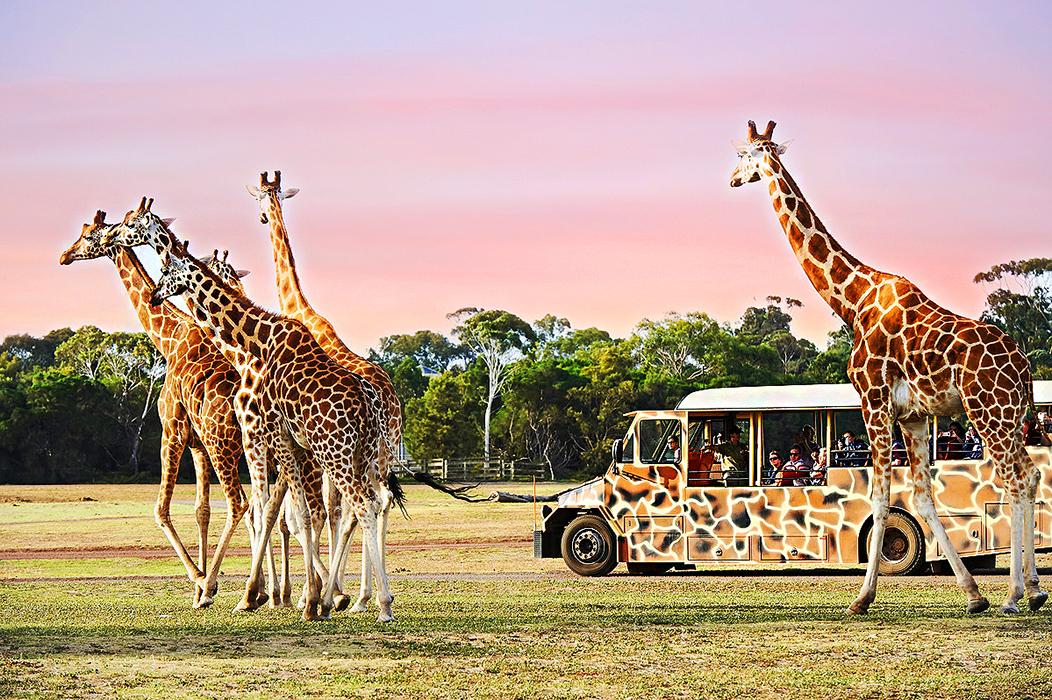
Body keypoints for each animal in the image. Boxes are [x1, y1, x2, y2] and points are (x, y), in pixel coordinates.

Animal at [61, 208, 248, 606]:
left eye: (87, 236)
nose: (64, 256)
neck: (170, 338)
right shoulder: (197, 445)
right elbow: (201, 510)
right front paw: (200, 589)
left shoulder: (172, 431)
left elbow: (161, 510)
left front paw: (202, 581)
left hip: (224, 443)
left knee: (242, 503)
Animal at [144, 235, 397, 623]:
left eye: (168, 269)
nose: (155, 294)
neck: (260, 340)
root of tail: (371, 407)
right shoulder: (292, 443)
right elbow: (290, 513)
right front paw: (305, 598)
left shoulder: (275, 433)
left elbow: (285, 513)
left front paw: (285, 598)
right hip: (363, 455)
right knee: (368, 504)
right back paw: (356, 598)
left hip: (334, 453)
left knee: (358, 507)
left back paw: (372, 603)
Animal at [732, 122, 1043, 614]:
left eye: (744, 154)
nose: (732, 179)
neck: (853, 300)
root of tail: (1024, 364)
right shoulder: (914, 416)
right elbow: (921, 497)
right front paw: (973, 595)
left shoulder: (874, 402)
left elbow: (879, 499)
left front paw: (861, 598)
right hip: (1011, 416)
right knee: (1029, 477)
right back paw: (1033, 589)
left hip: (988, 412)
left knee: (1013, 481)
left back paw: (1014, 594)